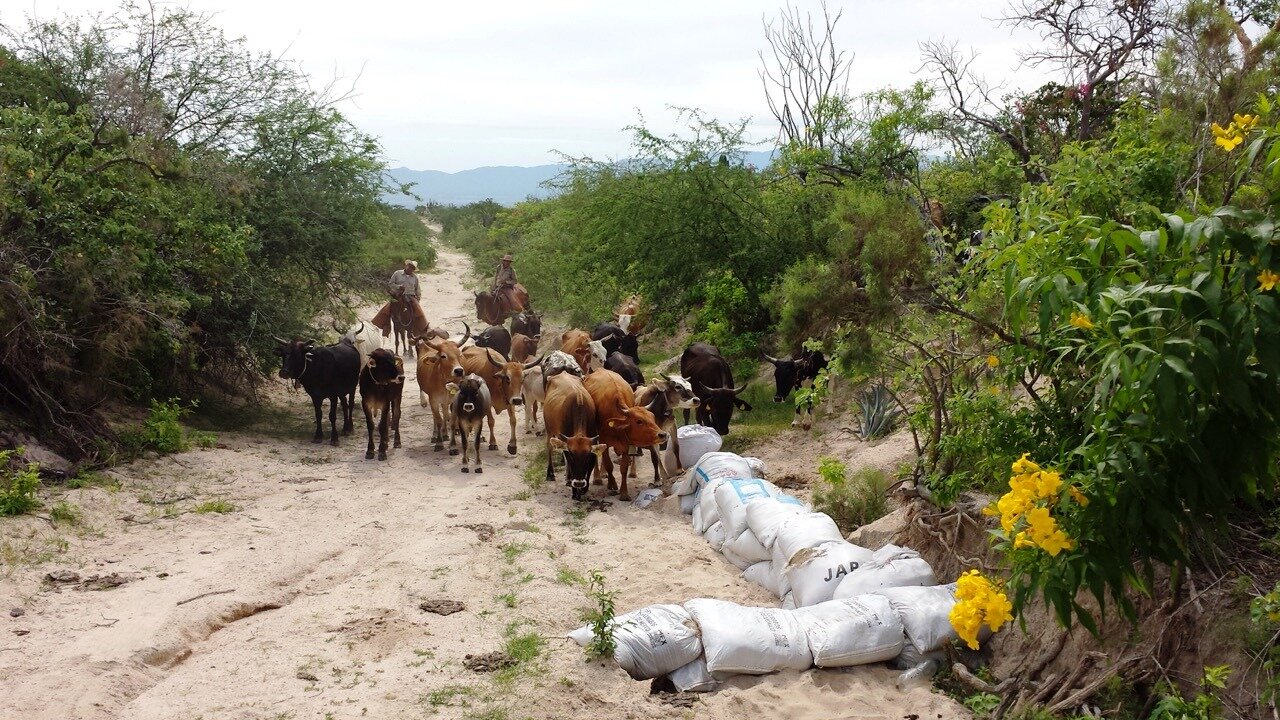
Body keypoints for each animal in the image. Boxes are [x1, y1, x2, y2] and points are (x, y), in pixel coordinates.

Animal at [537, 368, 601, 499]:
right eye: (572, 454)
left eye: (587, 456)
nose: (578, 483)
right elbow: (570, 465)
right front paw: (575, 491)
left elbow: (590, 468)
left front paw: (583, 488)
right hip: (549, 430)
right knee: (550, 447)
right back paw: (550, 474)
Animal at [583, 366, 670, 497]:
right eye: (639, 421)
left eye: (652, 417)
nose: (663, 434)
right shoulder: (604, 441)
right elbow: (609, 464)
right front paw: (612, 484)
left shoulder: (625, 445)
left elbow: (623, 468)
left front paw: (624, 492)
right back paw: (598, 477)